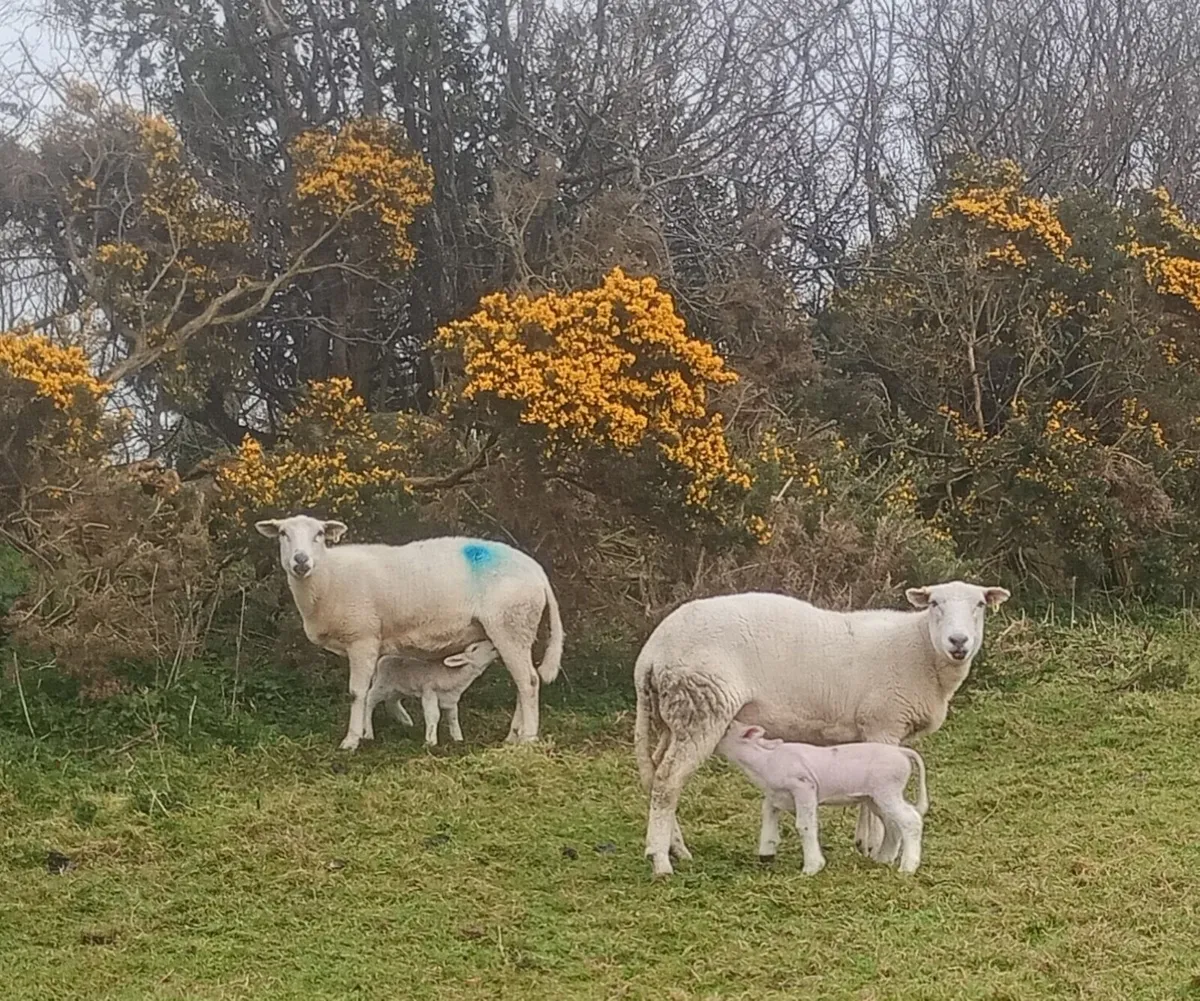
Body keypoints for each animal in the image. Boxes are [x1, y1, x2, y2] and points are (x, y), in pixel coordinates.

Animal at [367, 640, 499, 746]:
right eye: (474, 648)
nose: (493, 643)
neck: (453, 674)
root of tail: (380, 660)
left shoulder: (451, 698)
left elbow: (453, 717)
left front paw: (458, 738)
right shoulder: (429, 692)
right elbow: (433, 715)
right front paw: (431, 742)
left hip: (399, 688)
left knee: (391, 701)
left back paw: (406, 721)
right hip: (382, 684)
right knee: (369, 699)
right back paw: (368, 732)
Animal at [718, 722, 929, 875]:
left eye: (727, 728)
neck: (764, 760)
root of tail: (901, 752)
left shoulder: (804, 787)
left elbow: (804, 826)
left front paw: (812, 867)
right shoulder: (775, 795)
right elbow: (767, 814)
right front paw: (766, 852)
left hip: (887, 791)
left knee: (911, 820)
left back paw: (908, 867)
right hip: (874, 797)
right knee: (893, 824)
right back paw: (884, 858)